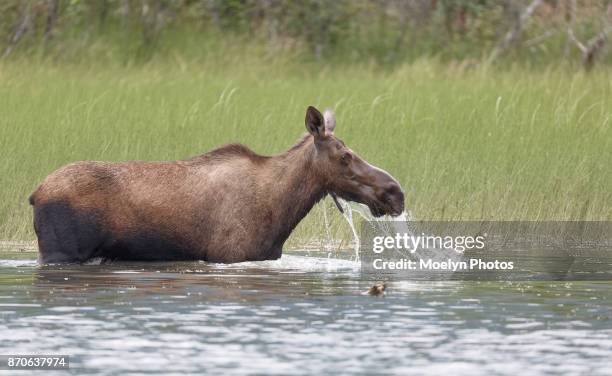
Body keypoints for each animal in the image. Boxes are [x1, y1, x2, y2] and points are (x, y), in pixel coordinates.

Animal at [28, 106, 404, 264]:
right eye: (345, 155)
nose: (395, 192)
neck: (282, 208)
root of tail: (35, 194)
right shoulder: (229, 255)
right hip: (61, 253)